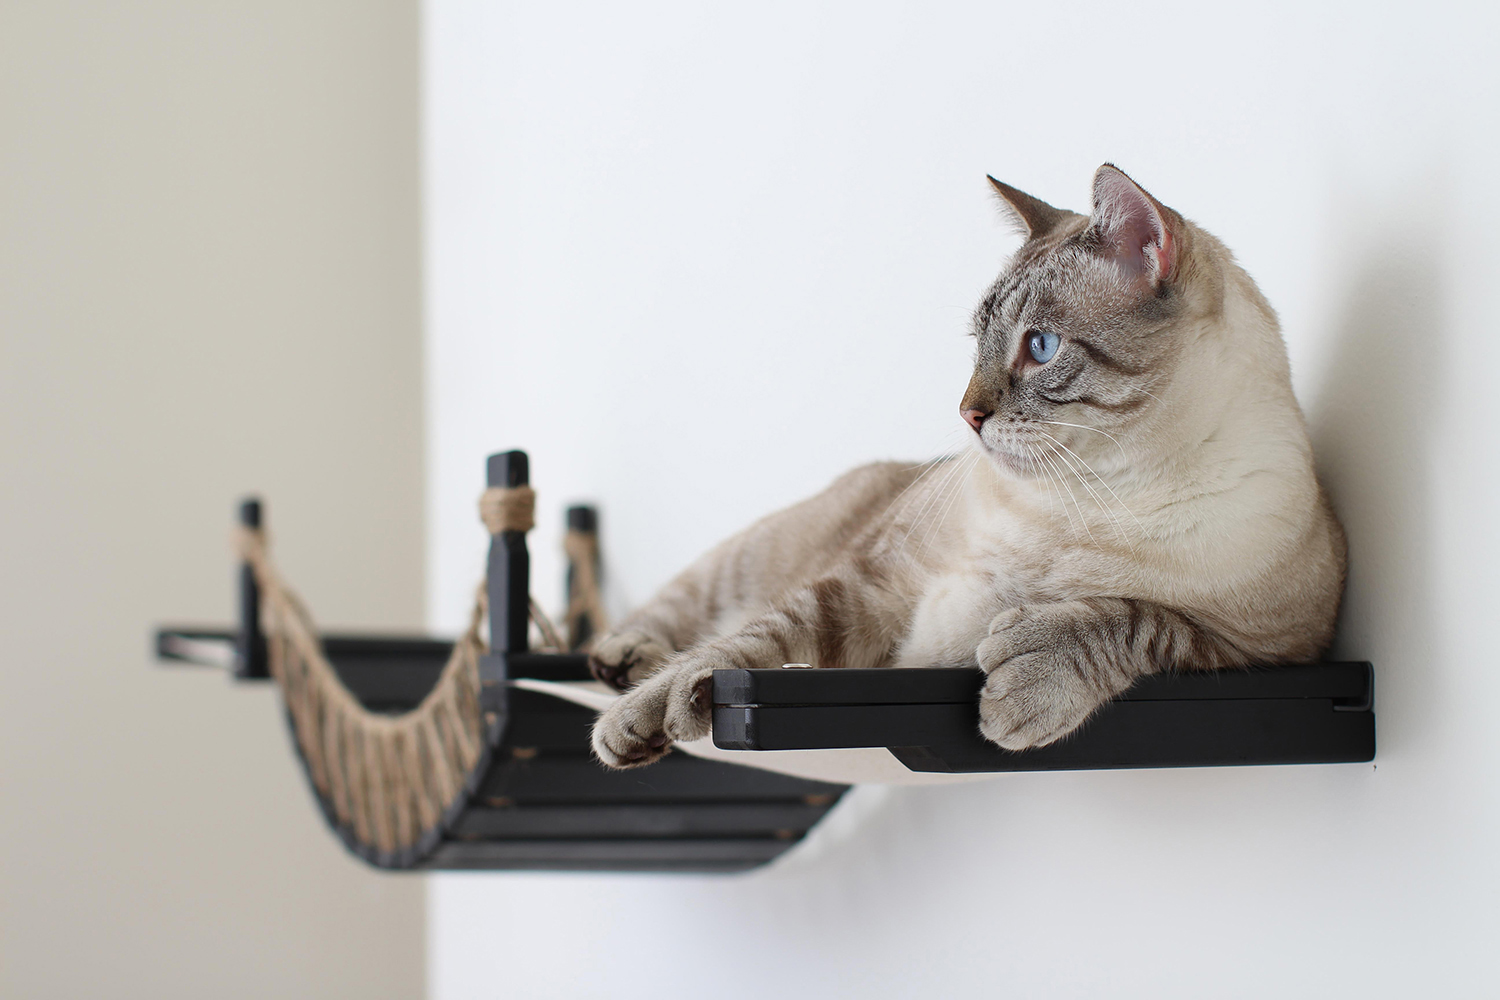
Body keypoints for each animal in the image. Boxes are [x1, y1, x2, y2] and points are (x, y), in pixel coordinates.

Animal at [585, 167, 1350, 773]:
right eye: (977, 346)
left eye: (1040, 348)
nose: (966, 415)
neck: (1093, 496)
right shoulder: (870, 584)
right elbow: (743, 646)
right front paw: (651, 714)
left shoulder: (1268, 650)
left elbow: (1136, 619)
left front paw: (1022, 685)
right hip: (749, 559)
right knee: (681, 613)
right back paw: (620, 662)